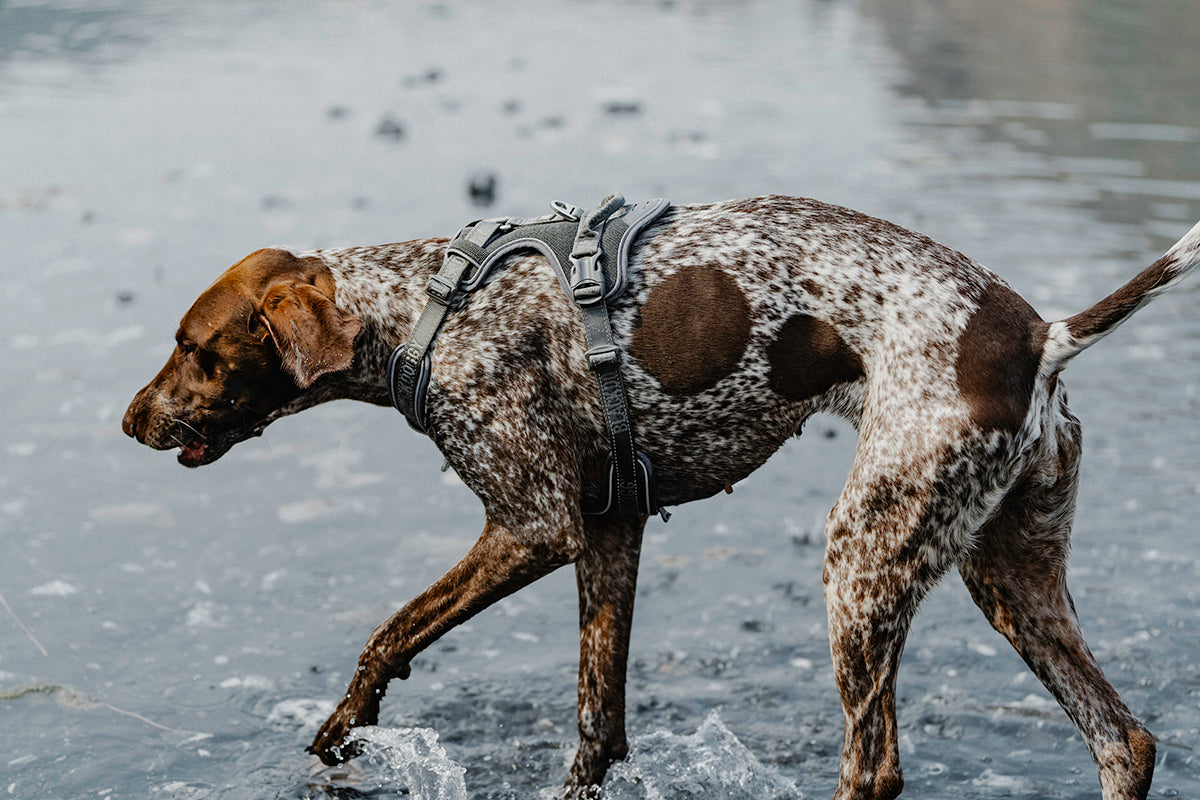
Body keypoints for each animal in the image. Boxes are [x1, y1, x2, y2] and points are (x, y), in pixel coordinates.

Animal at [117, 195, 1195, 800]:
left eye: (193, 346)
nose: (128, 419)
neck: (430, 307)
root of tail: (1039, 336)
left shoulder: (533, 525)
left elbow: (390, 631)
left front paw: (346, 727)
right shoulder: (612, 530)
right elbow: (599, 727)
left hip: (862, 564)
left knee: (875, 767)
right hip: (1011, 582)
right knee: (1125, 743)